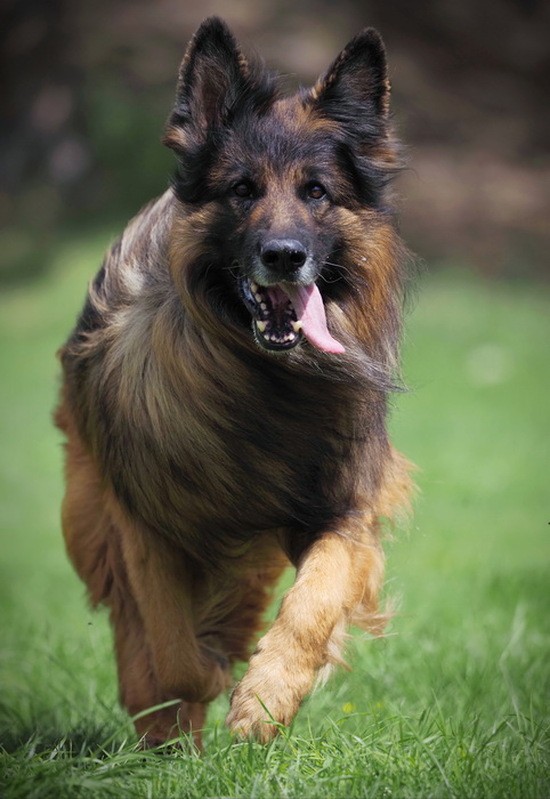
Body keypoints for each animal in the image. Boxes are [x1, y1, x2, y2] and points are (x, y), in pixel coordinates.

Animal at [55, 15, 414, 748]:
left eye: (316, 192)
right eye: (242, 190)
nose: (284, 256)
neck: (259, 378)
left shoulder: (342, 511)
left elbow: (312, 603)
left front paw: (266, 698)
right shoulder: (146, 522)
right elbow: (171, 644)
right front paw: (197, 688)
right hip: (87, 507)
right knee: (129, 615)